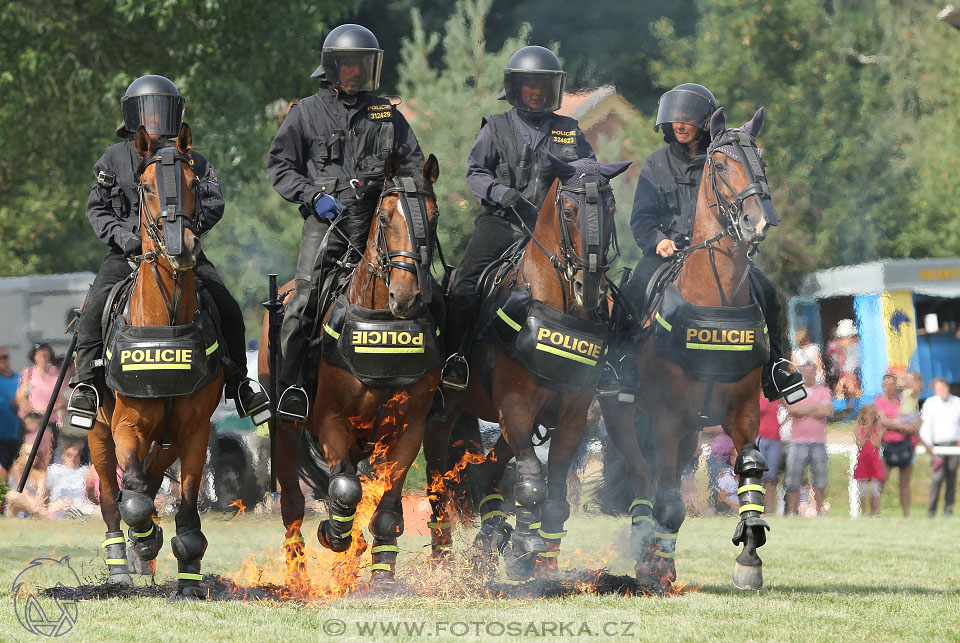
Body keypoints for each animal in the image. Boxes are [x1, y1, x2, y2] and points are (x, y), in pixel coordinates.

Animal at [87, 126, 223, 604]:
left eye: (195, 183)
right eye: (144, 187)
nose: (182, 249)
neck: (163, 320)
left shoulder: (194, 429)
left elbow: (185, 501)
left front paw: (188, 577)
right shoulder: (127, 426)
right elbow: (133, 497)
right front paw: (145, 539)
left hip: (166, 441)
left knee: (148, 478)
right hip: (97, 434)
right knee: (114, 497)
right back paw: (120, 567)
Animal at [260, 153, 444, 592]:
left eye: (434, 217)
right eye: (385, 217)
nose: (405, 296)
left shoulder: (408, 429)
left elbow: (388, 506)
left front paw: (383, 576)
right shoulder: (332, 424)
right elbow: (344, 489)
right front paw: (333, 535)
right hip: (285, 431)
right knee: (293, 504)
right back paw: (299, 576)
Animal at [426, 158, 632, 580]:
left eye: (611, 209)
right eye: (567, 211)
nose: (590, 286)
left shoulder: (571, 417)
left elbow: (554, 493)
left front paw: (545, 566)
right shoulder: (515, 406)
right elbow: (533, 481)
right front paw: (524, 549)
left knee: (487, 471)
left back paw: (489, 540)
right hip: (445, 416)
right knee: (439, 481)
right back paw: (444, 560)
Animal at [604, 107, 784, 592]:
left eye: (761, 159)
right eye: (720, 165)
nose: (757, 222)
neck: (713, 299)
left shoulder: (742, 412)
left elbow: (750, 469)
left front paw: (749, 558)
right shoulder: (665, 417)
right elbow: (667, 500)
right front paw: (658, 570)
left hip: (688, 436)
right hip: (627, 418)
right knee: (643, 479)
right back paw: (648, 555)